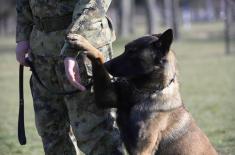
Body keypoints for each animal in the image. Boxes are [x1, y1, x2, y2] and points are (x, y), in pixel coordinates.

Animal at [67, 29, 218, 155]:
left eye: (132, 52)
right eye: (125, 49)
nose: (107, 66)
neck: (145, 92)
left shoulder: (141, 149)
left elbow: (99, 55)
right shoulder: (107, 96)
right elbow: (98, 57)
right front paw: (83, 42)